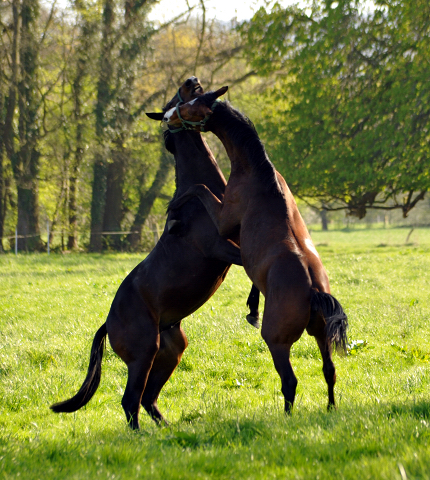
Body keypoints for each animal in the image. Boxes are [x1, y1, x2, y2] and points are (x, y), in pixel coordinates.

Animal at [50, 77, 258, 430]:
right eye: (175, 100)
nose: (191, 80)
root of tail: (107, 324)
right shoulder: (219, 248)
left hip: (171, 350)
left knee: (148, 398)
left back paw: (166, 430)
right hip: (145, 352)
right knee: (130, 400)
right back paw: (142, 437)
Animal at [165, 88, 350, 414]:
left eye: (189, 106)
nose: (167, 116)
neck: (257, 172)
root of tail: (314, 290)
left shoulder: (224, 222)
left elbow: (198, 188)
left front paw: (173, 207)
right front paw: (252, 307)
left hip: (277, 341)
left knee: (290, 381)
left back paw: (286, 417)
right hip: (321, 336)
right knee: (329, 371)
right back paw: (330, 409)